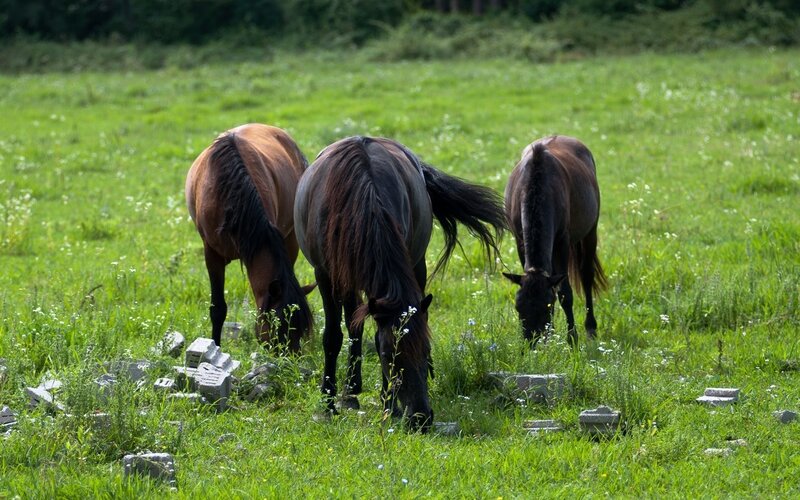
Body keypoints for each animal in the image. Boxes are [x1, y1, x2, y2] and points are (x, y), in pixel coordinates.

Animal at [294, 136, 506, 432]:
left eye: (426, 349)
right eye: (385, 355)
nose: (420, 418)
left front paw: (389, 407)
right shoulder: (325, 275)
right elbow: (333, 337)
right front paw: (327, 404)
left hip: (415, 264)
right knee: (352, 323)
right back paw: (349, 393)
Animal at [503, 135, 607, 347]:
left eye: (547, 307)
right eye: (518, 308)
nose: (532, 344)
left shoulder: (562, 243)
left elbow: (565, 293)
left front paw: (572, 337)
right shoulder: (520, 240)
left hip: (590, 231)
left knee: (586, 275)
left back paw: (591, 327)